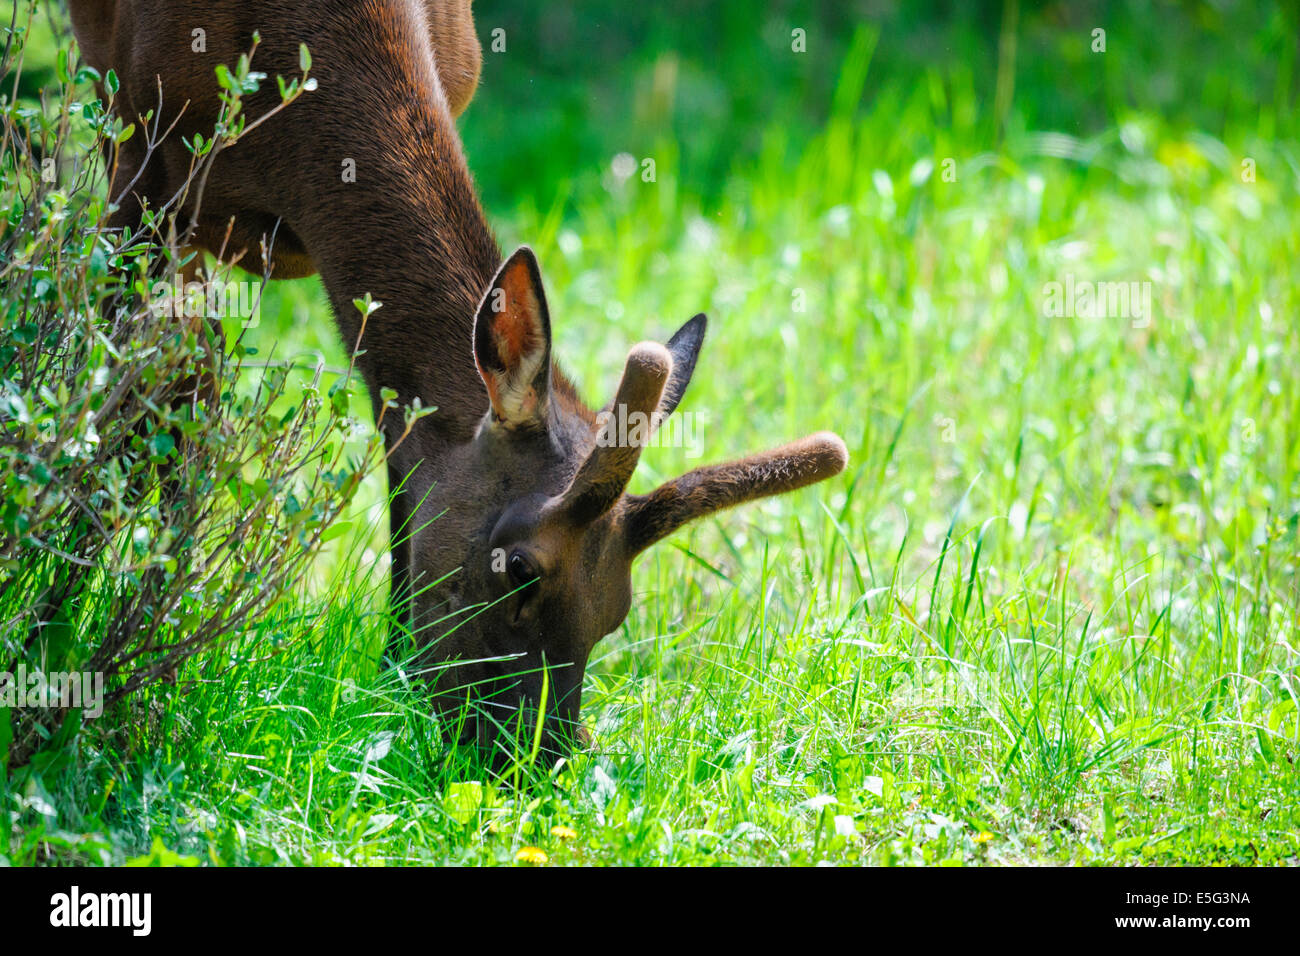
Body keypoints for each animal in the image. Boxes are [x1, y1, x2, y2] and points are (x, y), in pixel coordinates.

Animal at [68, 0, 848, 762]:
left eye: (618, 610)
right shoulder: (140, 157)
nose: (534, 761)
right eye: (519, 569)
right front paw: (89, 626)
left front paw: (392, 675)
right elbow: (130, 391)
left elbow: (400, 455)